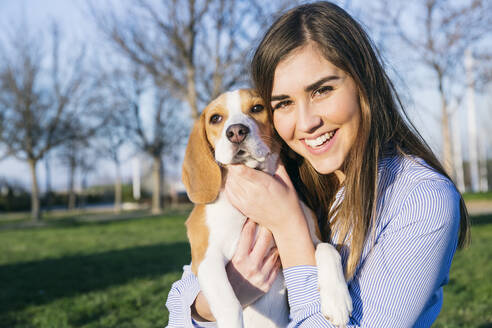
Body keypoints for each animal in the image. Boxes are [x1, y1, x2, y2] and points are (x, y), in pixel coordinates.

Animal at [183, 89, 352, 328]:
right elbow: (230, 303)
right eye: (215, 118)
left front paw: (337, 300)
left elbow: (329, 249)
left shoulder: (309, 239)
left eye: (257, 108)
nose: (236, 132)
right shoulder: (206, 259)